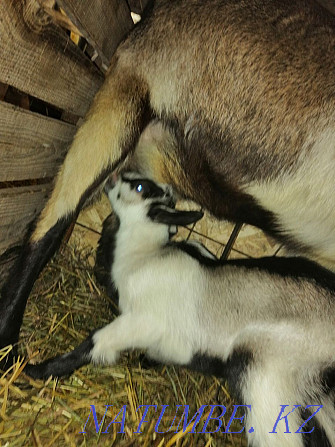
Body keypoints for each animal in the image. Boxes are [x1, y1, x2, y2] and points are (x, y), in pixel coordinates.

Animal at [26, 173, 335, 446]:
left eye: (140, 187)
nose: (111, 177)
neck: (143, 257)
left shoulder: (142, 320)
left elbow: (96, 341)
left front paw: (37, 370)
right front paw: (148, 360)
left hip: (268, 373)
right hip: (315, 393)